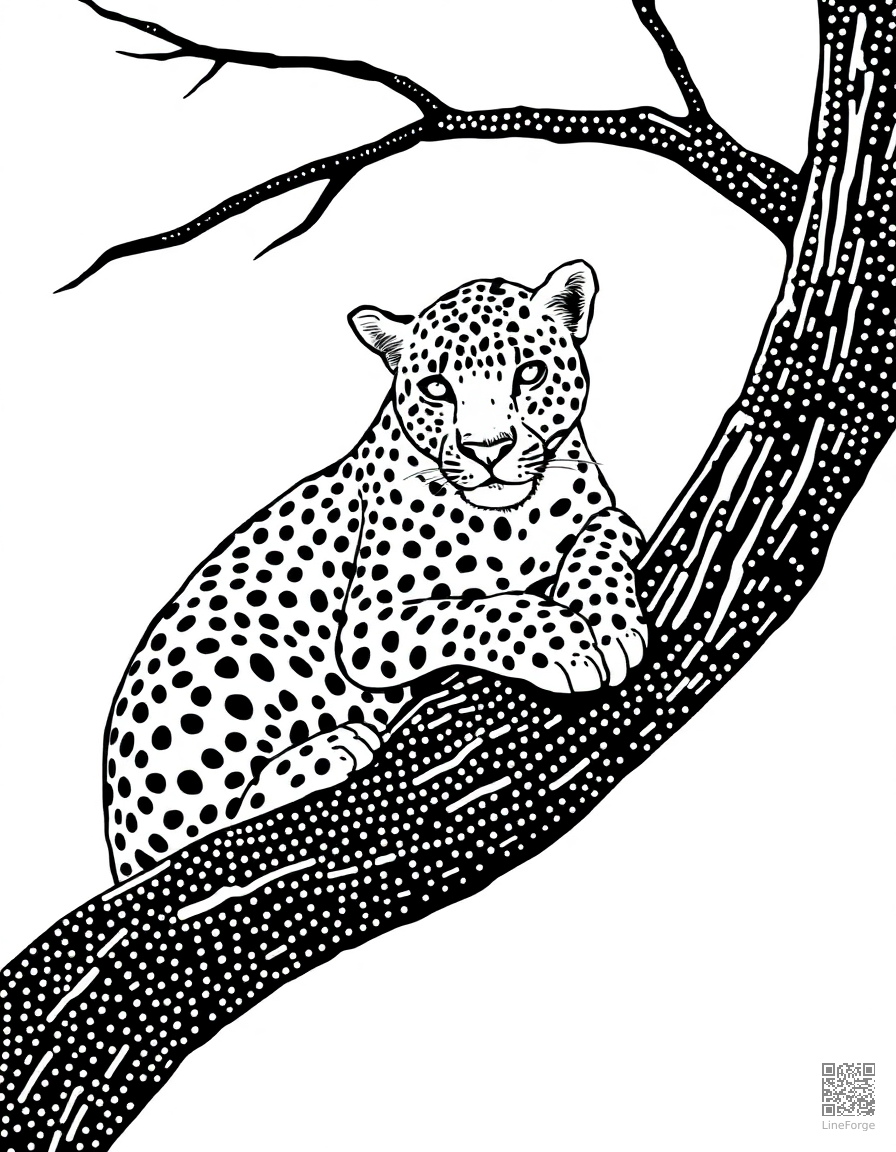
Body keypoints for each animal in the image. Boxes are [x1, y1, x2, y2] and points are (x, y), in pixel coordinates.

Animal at [104, 260, 648, 879]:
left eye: (529, 373)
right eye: (438, 388)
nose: (487, 450)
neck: (513, 519)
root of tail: (119, 843)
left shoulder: (612, 517)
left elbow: (600, 535)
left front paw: (609, 626)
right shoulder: (368, 626)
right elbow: (478, 610)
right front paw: (568, 645)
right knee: (218, 822)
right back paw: (332, 751)